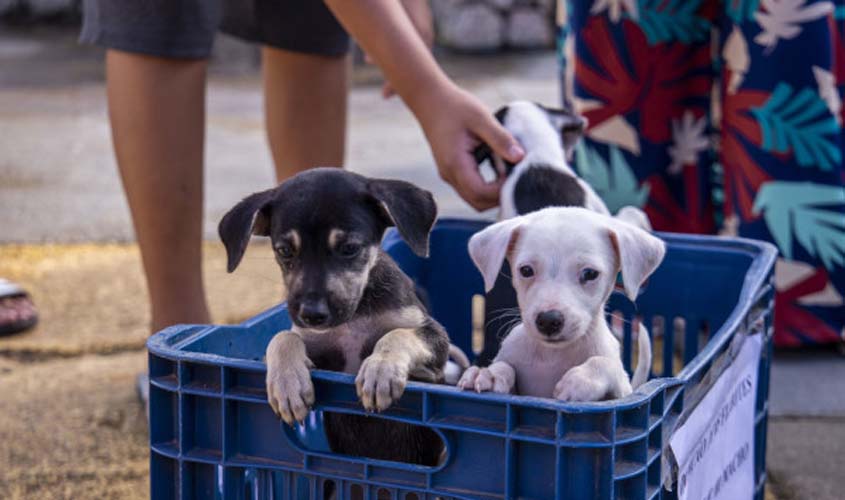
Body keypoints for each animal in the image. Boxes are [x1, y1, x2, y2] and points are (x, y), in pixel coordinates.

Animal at [221, 167, 452, 468]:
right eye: (284, 251)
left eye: (350, 248)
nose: (312, 315)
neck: (353, 319)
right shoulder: (318, 350)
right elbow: (283, 337)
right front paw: (287, 384)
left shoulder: (435, 345)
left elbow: (397, 334)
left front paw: (380, 369)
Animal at [458, 205, 664, 400]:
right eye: (526, 270)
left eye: (590, 273)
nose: (548, 321)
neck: (552, 354)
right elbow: (504, 365)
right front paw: (488, 374)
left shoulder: (622, 393)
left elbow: (603, 362)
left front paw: (580, 380)